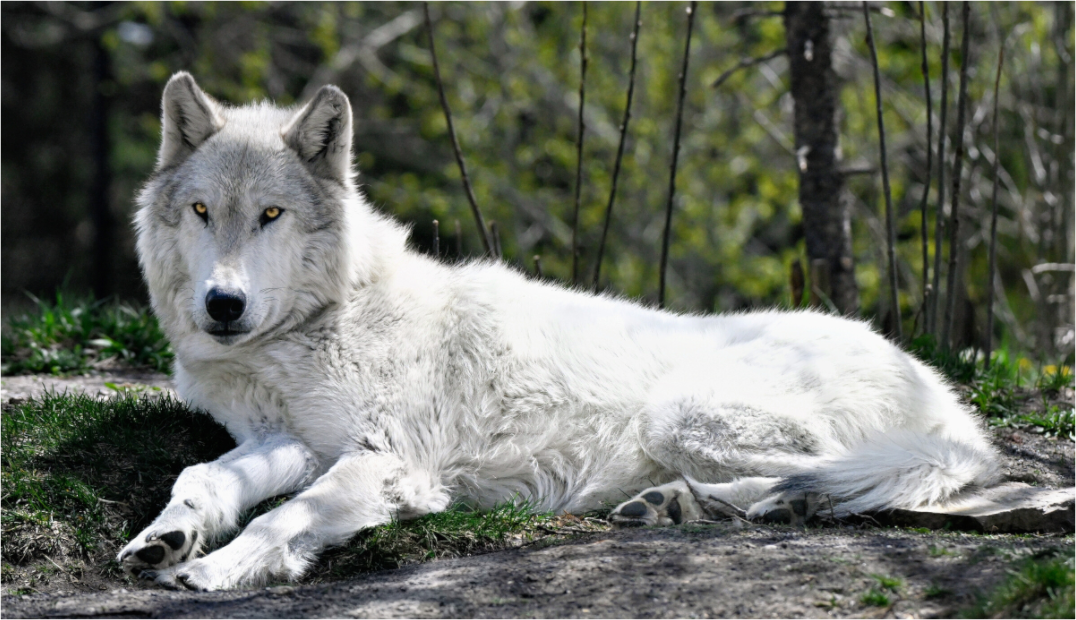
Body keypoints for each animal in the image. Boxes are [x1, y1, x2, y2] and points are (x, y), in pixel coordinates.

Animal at [119, 72, 998, 591]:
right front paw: (167, 537)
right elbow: (203, 476)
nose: (222, 305)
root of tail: (947, 399)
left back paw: (724, 505)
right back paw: (675, 507)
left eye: (271, 214)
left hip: (683, 414)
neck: (318, 327)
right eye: (202, 211)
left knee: (845, 474)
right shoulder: (292, 440)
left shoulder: (389, 463)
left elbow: (281, 516)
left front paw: (218, 568)